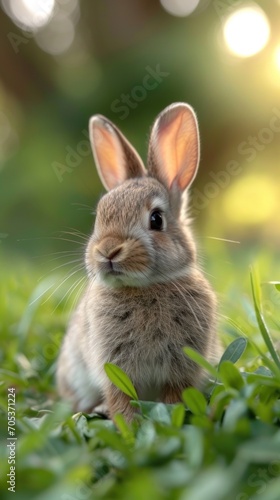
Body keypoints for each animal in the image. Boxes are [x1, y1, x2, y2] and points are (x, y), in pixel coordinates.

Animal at [56, 102, 219, 422]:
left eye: (156, 219)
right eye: (100, 215)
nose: (108, 251)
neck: (144, 288)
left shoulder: (180, 368)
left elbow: (173, 397)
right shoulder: (114, 365)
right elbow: (121, 398)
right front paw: (127, 425)